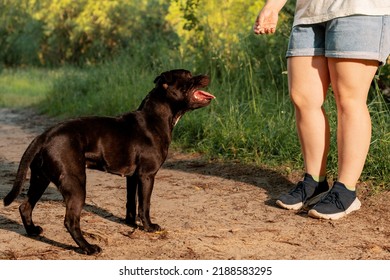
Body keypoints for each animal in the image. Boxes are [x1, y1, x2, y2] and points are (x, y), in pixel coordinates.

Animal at [3, 69, 215, 255]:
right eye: (188, 76)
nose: (207, 74)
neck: (156, 117)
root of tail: (44, 136)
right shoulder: (147, 176)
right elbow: (144, 205)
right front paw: (148, 226)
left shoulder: (133, 177)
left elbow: (131, 202)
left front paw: (130, 223)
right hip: (75, 184)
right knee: (70, 221)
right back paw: (88, 248)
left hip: (41, 179)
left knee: (26, 206)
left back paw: (33, 231)